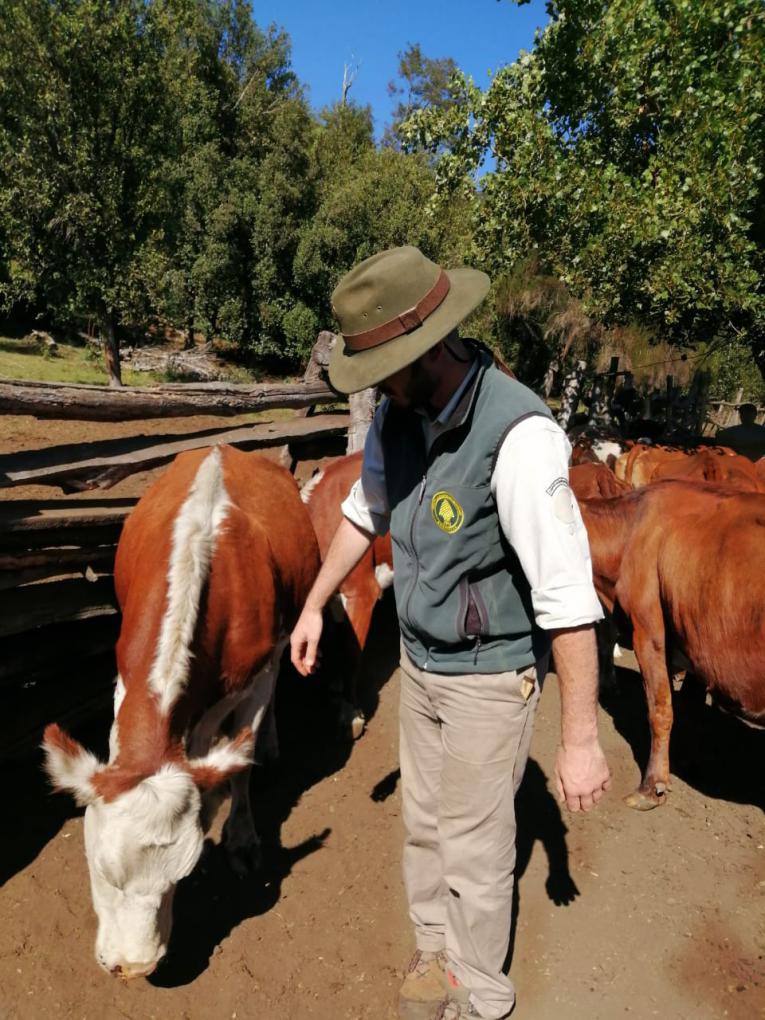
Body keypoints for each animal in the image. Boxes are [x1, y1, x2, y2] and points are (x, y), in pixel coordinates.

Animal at [43, 446, 318, 979]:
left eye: (183, 876)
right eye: (101, 870)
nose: (134, 967)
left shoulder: (254, 677)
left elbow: (242, 761)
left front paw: (242, 836)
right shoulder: (126, 679)